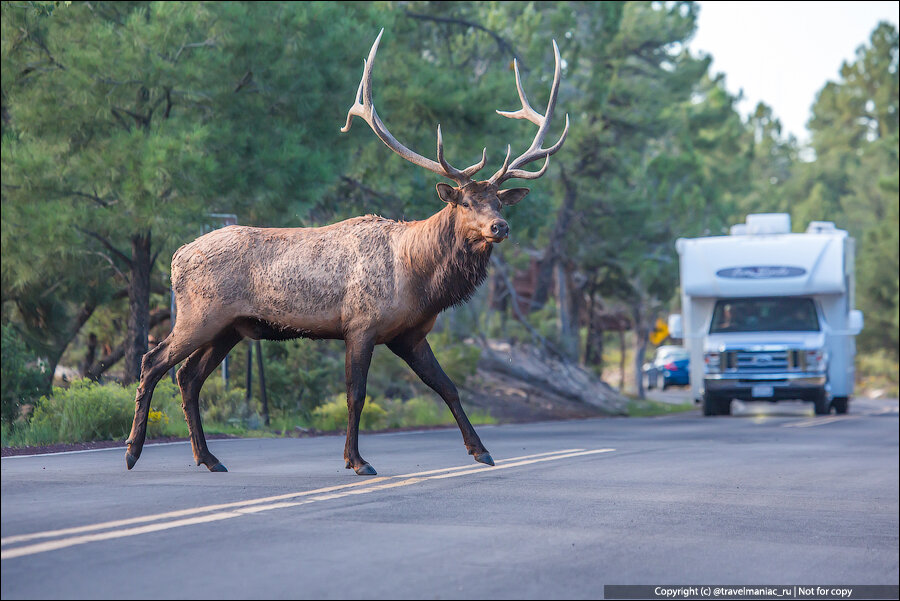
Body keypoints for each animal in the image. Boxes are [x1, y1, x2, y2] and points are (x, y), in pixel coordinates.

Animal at [124, 31, 568, 474]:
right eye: (466, 202)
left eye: (499, 202)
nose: (500, 227)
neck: (418, 278)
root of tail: (176, 257)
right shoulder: (360, 323)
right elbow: (356, 394)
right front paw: (356, 461)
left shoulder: (409, 334)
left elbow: (448, 387)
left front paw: (481, 450)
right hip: (200, 315)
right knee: (153, 361)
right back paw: (133, 451)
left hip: (230, 327)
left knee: (188, 377)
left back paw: (208, 457)